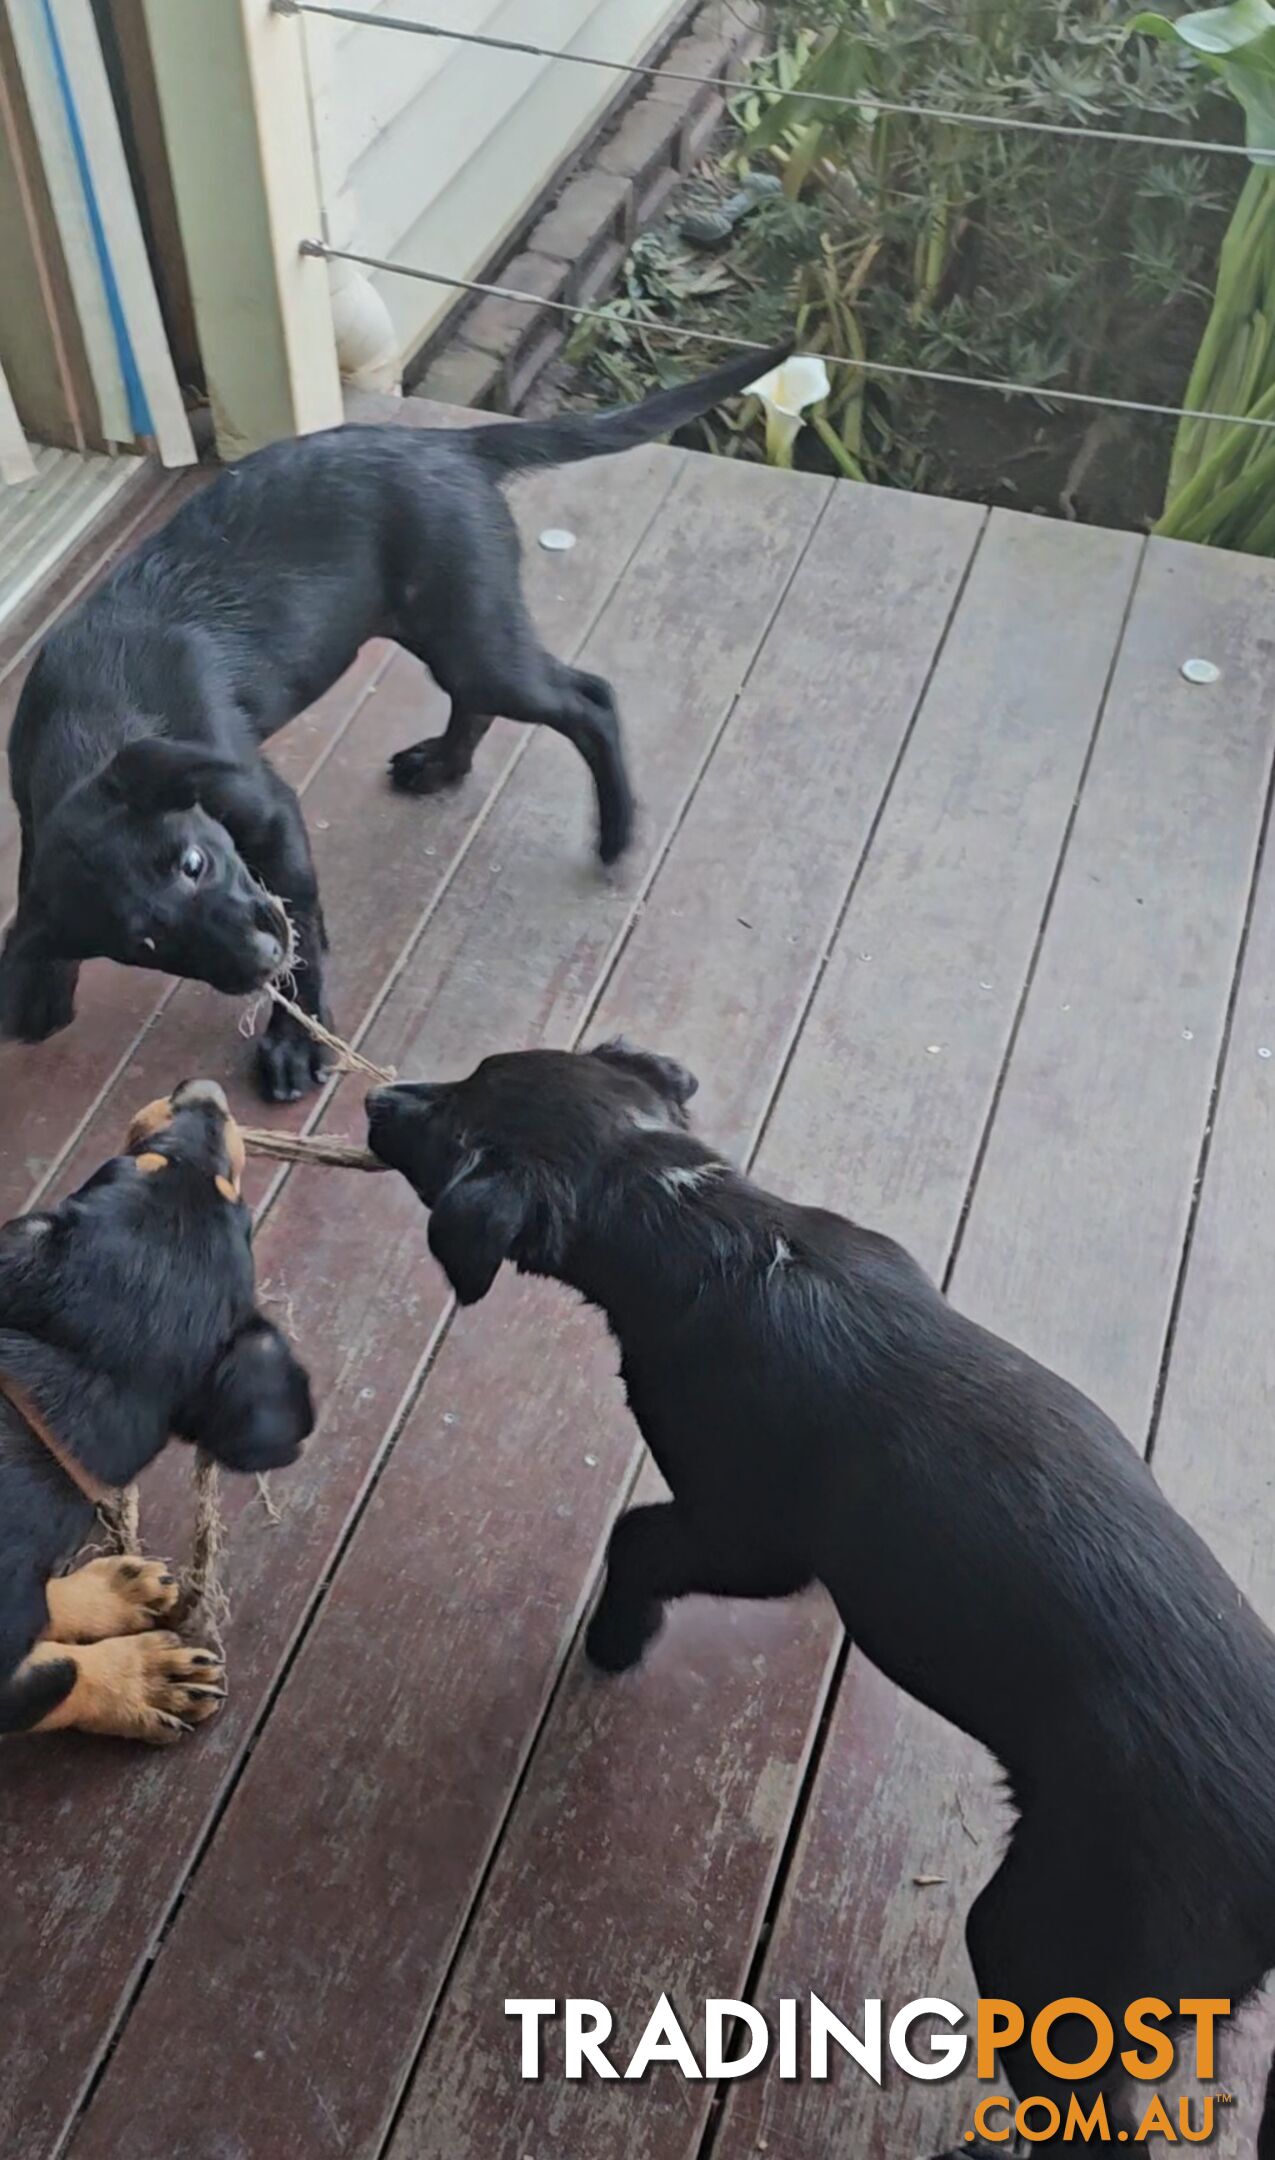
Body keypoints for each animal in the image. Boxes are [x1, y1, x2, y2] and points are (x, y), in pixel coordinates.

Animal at [0, 349, 790, 1114]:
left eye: (194, 863)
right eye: (148, 942)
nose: (256, 960)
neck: (89, 719)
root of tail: (452, 445)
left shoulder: (268, 812)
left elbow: (305, 928)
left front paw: (295, 1041)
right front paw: (38, 987)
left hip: (474, 635)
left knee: (589, 700)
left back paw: (615, 833)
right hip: (443, 626)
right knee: (482, 703)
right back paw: (441, 767)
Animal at [1, 1071, 315, 1745]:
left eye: (231, 1197)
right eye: (140, 1164)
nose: (205, 1094)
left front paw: (107, 1595)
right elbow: (59, 1676)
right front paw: (147, 1682)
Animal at [369, 1041, 1275, 2142]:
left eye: (452, 1135)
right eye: (476, 1068)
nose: (374, 1098)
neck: (696, 1213)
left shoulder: (749, 1534)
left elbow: (637, 1540)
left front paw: (618, 1639)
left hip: (1051, 1944)